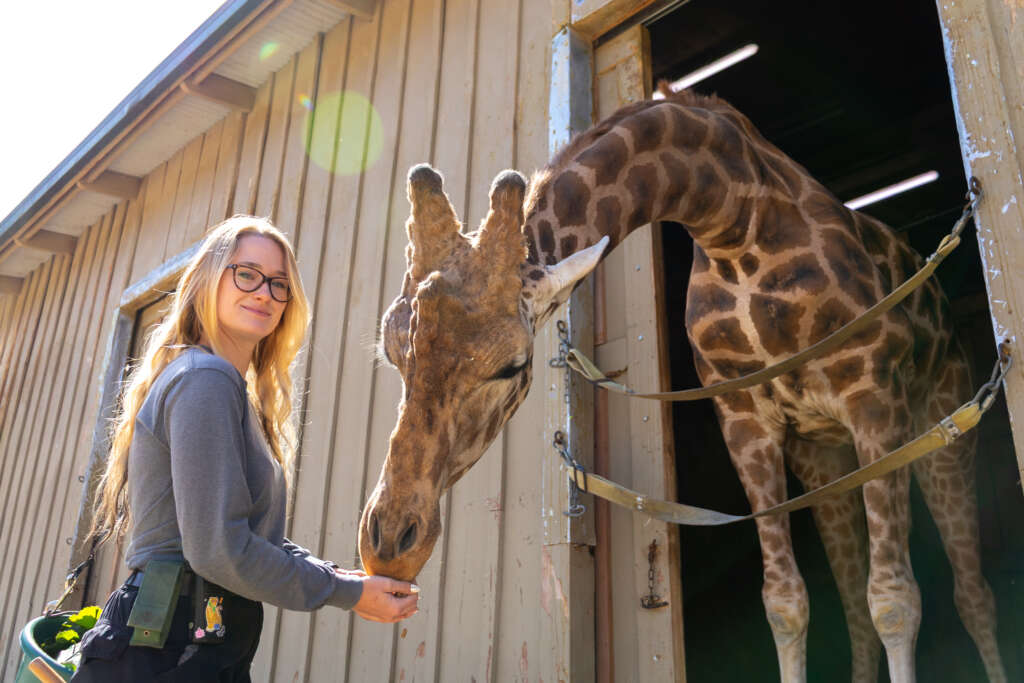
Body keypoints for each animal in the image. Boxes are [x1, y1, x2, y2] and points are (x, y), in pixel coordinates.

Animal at [359, 88, 1005, 683]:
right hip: (825, 460)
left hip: (939, 425)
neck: (733, 221)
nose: (389, 545)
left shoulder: (872, 398)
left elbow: (896, 601)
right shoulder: (743, 417)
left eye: (512, 366)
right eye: (392, 352)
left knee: (971, 593)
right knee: (851, 597)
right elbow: (786, 603)